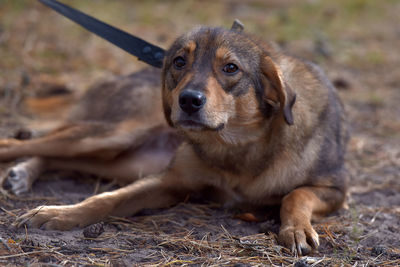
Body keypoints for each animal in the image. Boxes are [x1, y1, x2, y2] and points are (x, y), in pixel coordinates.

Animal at [0, 25, 346, 258]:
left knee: (61, 155)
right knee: (22, 143)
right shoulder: (169, 180)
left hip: (122, 160)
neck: (235, 148)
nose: (189, 100)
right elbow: (104, 199)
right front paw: (58, 213)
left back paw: (23, 173)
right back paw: (22, 168)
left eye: (230, 68)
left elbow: (297, 194)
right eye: (179, 62)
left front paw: (296, 229)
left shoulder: (336, 191)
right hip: (113, 136)